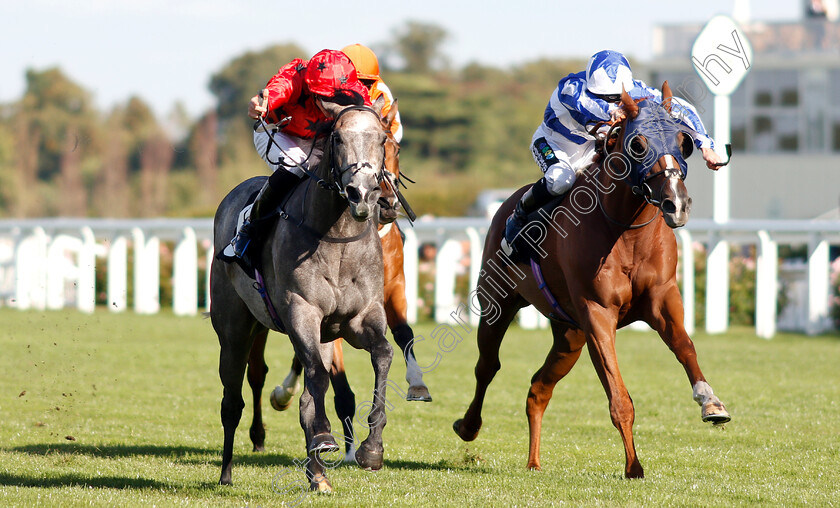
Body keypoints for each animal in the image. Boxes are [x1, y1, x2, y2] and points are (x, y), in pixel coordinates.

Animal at [210, 99, 394, 492]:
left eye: (383, 139)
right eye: (337, 138)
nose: (362, 194)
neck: (337, 235)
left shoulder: (360, 319)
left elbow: (383, 355)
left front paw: (371, 450)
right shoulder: (302, 312)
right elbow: (317, 377)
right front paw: (325, 437)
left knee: (306, 392)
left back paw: (318, 475)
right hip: (234, 330)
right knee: (232, 401)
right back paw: (227, 473)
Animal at [452, 81, 728, 478]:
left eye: (683, 140)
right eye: (638, 144)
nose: (677, 204)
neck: (625, 230)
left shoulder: (662, 298)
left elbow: (685, 346)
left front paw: (711, 402)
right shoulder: (597, 313)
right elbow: (619, 397)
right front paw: (633, 466)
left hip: (569, 335)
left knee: (538, 388)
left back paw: (534, 461)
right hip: (497, 303)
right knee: (487, 365)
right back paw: (468, 426)